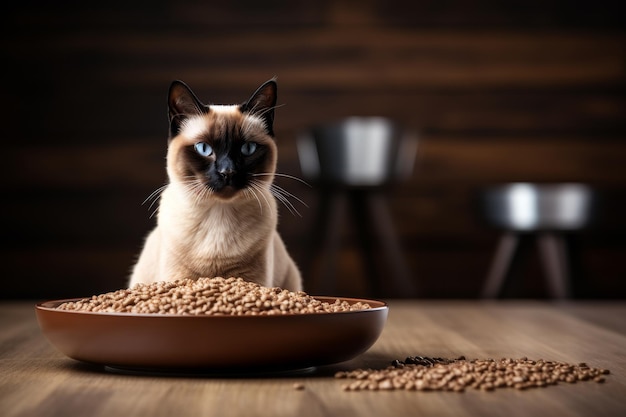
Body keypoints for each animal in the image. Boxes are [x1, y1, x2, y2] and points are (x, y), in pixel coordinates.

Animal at [128, 79, 302, 290]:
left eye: (247, 149)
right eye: (204, 149)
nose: (227, 172)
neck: (219, 213)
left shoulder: (252, 280)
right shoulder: (179, 277)